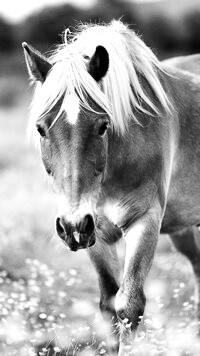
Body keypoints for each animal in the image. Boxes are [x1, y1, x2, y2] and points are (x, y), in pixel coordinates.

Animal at [23, 20, 200, 354]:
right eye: (41, 129)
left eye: (103, 126)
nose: (72, 225)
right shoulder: (97, 232)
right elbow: (108, 304)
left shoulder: (144, 221)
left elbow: (129, 304)